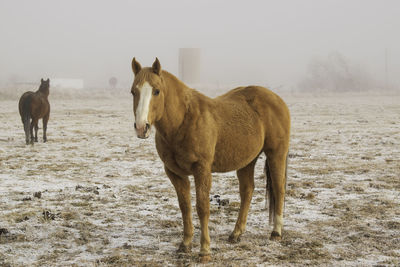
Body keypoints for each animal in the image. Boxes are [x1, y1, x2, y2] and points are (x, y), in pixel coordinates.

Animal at [131, 58, 290, 264]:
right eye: (133, 91)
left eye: (156, 91)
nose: (141, 127)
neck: (183, 121)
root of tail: (276, 99)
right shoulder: (175, 173)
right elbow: (185, 207)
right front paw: (185, 244)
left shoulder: (202, 170)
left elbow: (202, 207)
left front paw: (204, 250)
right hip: (247, 161)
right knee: (247, 191)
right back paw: (236, 233)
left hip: (276, 154)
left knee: (279, 189)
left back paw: (276, 232)